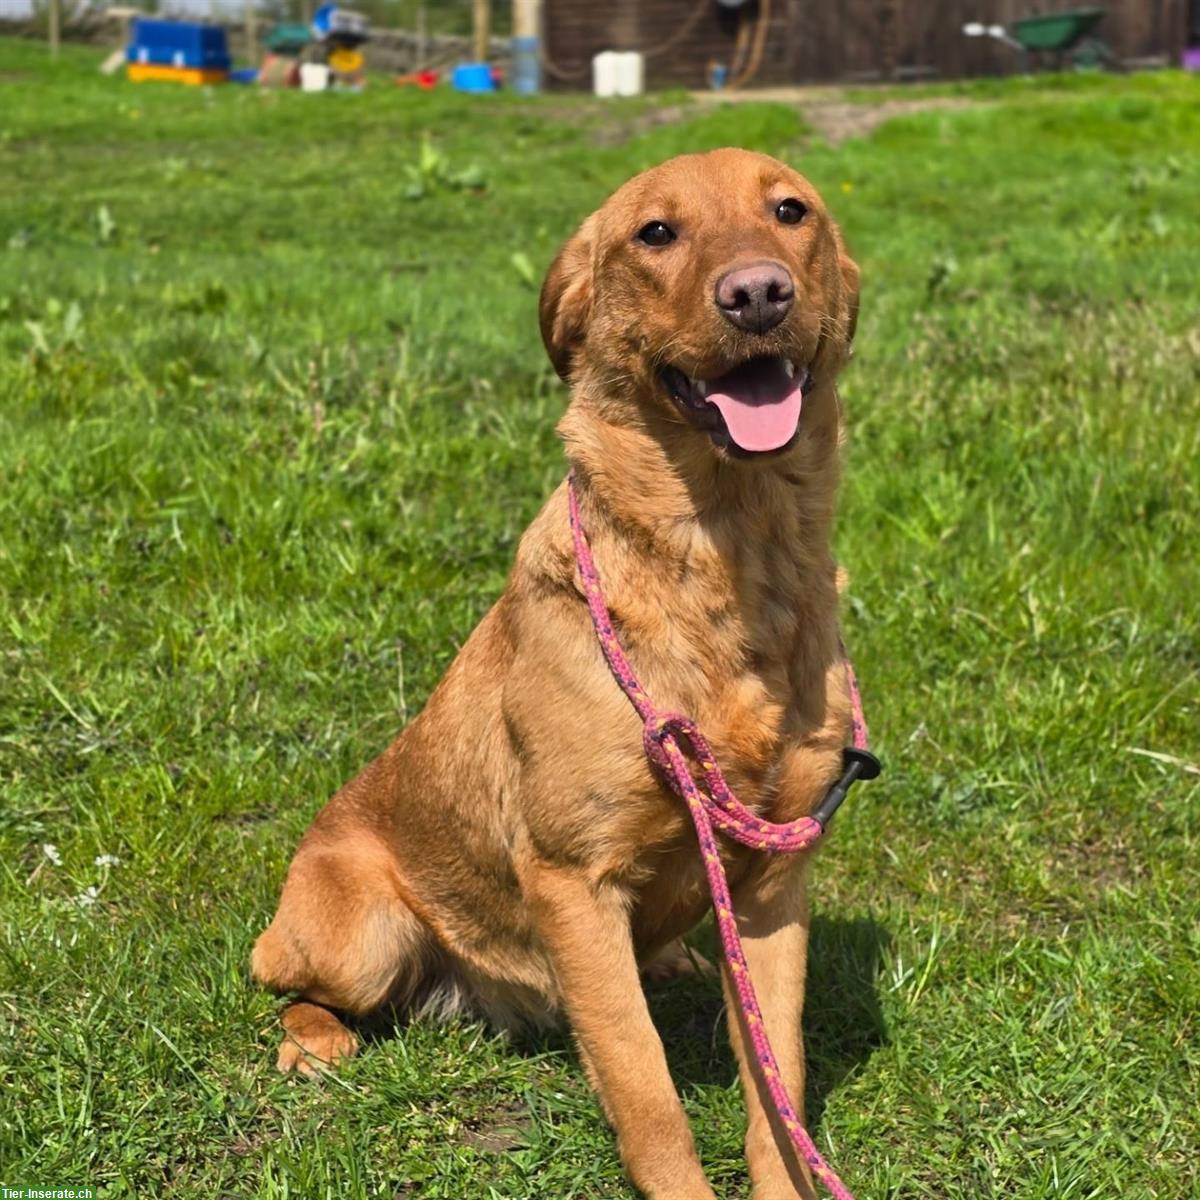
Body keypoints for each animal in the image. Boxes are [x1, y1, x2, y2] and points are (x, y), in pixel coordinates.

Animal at [253, 145, 864, 1195]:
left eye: (792, 212)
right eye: (655, 233)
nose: (757, 294)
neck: (733, 554)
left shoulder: (778, 879)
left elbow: (775, 1078)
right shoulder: (574, 881)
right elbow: (645, 1087)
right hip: (361, 932)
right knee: (280, 977)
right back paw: (310, 1039)